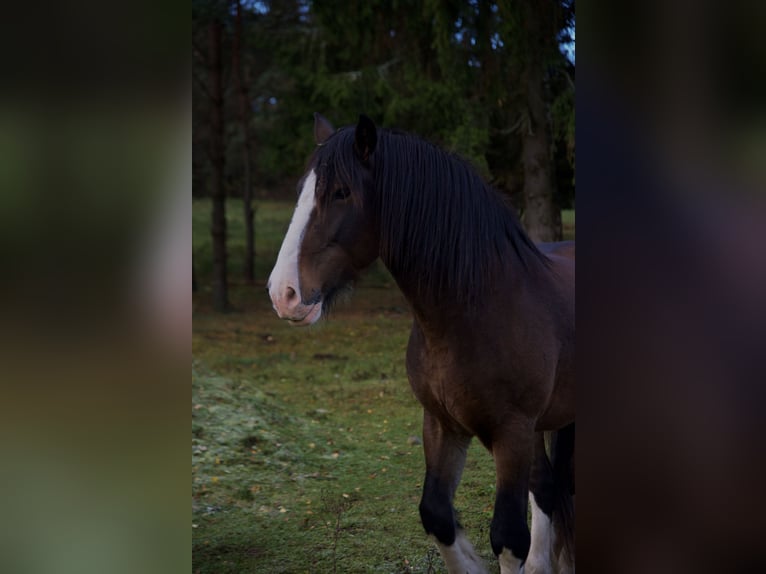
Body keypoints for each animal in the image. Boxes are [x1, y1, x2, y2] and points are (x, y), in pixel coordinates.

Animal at [268, 113, 572, 574]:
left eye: (340, 192)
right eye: (302, 190)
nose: (282, 293)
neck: (479, 309)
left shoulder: (512, 433)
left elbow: (507, 537)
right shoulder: (443, 424)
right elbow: (436, 515)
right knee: (548, 490)